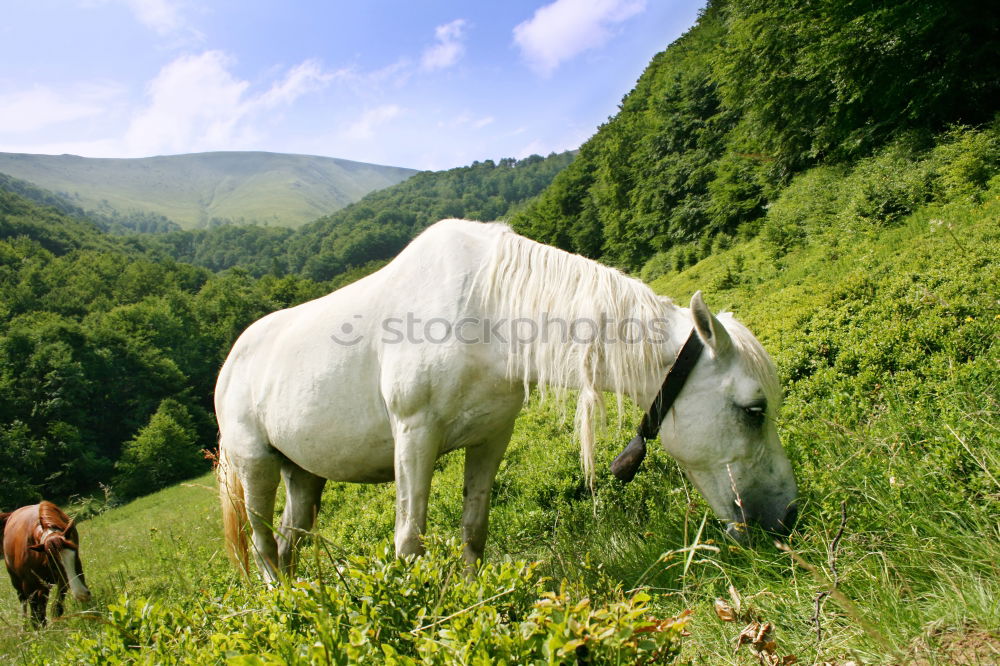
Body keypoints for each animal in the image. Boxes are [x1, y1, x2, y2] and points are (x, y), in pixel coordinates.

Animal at [219, 219, 796, 580]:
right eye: (754, 411)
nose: (787, 519)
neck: (485, 307)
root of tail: (229, 365)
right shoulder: (414, 436)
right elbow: (410, 541)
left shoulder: (492, 436)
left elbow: (474, 529)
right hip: (255, 466)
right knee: (266, 548)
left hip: (303, 475)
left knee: (290, 544)